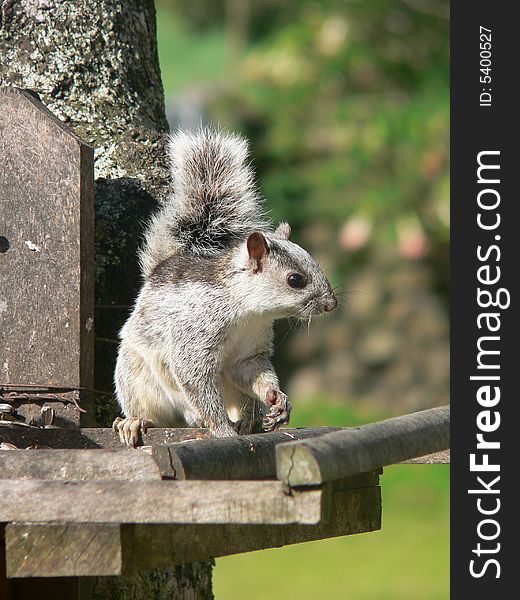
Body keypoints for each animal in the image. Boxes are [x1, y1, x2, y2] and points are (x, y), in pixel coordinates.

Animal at [112, 127, 338, 446]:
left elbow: (252, 372)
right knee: (154, 410)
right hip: (137, 376)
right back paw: (136, 421)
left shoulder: (249, 351)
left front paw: (278, 399)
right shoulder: (194, 336)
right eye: (295, 279)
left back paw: (250, 420)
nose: (331, 304)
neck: (246, 312)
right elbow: (196, 381)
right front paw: (222, 430)